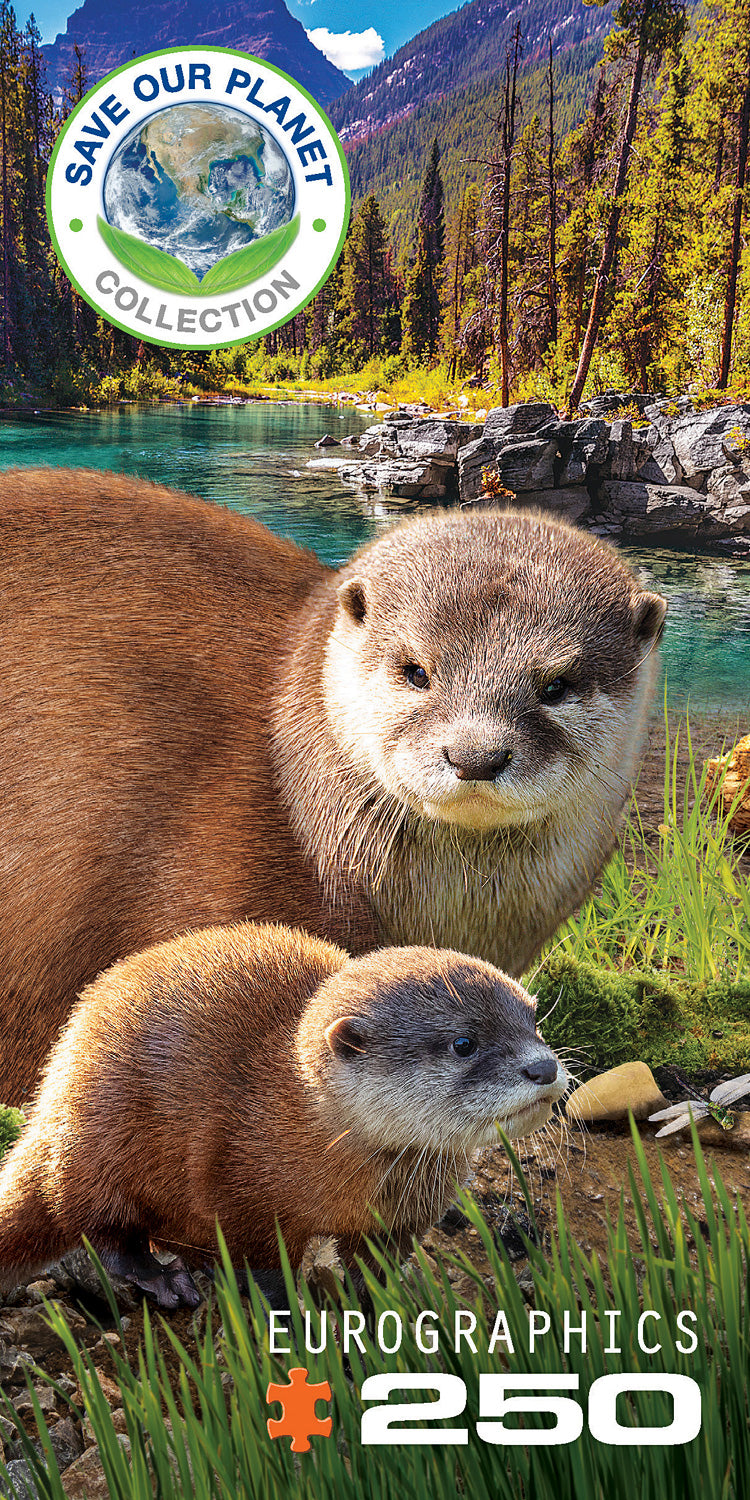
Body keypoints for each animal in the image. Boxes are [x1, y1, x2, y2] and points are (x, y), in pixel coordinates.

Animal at [0, 923, 566, 1305]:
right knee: (95, 1225)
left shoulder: (399, 1221)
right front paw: (290, 1315)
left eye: (533, 1017)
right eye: (464, 1043)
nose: (543, 1067)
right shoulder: (238, 1186)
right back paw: (164, 1279)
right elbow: (263, 1267)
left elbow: (375, 1268)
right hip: (97, 1138)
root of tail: (51, 1097)